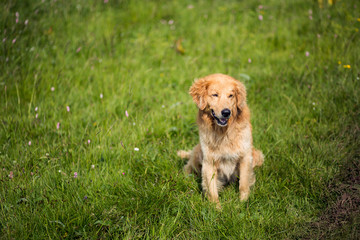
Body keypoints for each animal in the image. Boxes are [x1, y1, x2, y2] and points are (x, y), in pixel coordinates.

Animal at [178, 73, 264, 208]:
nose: (226, 112)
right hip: (197, 154)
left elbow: (244, 184)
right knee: (188, 165)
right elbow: (212, 189)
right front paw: (216, 209)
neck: (223, 132)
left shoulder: (245, 157)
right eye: (215, 95)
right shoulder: (209, 162)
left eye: (231, 95)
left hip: (257, 156)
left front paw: (243, 204)